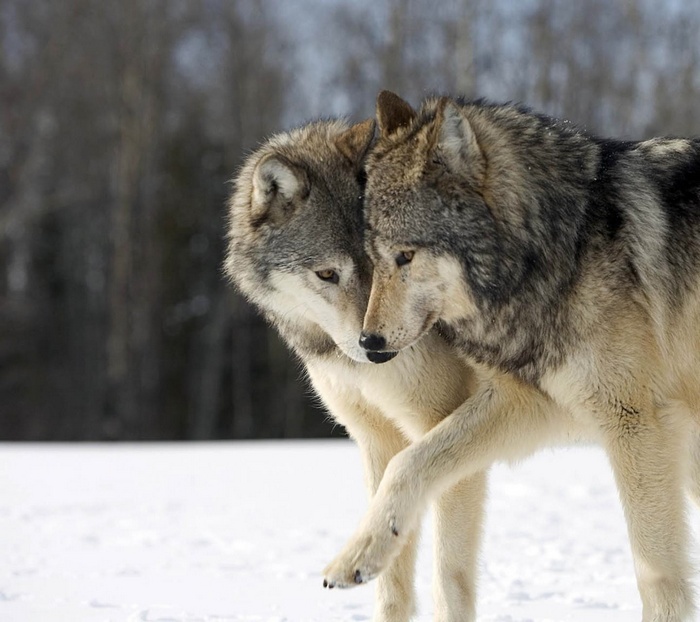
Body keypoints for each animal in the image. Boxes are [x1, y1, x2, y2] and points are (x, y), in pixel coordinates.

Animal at [224, 119, 490, 621]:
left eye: (398, 260)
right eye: (328, 274)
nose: (376, 349)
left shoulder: (445, 440)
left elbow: (448, 582)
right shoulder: (379, 442)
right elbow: (391, 583)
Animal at [322, 91, 700, 621]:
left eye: (406, 256)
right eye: (373, 259)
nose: (369, 344)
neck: (559, 251)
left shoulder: (635, 422)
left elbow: (655, 574)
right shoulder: (531, 403)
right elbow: (409, 461)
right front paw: (358, 555)